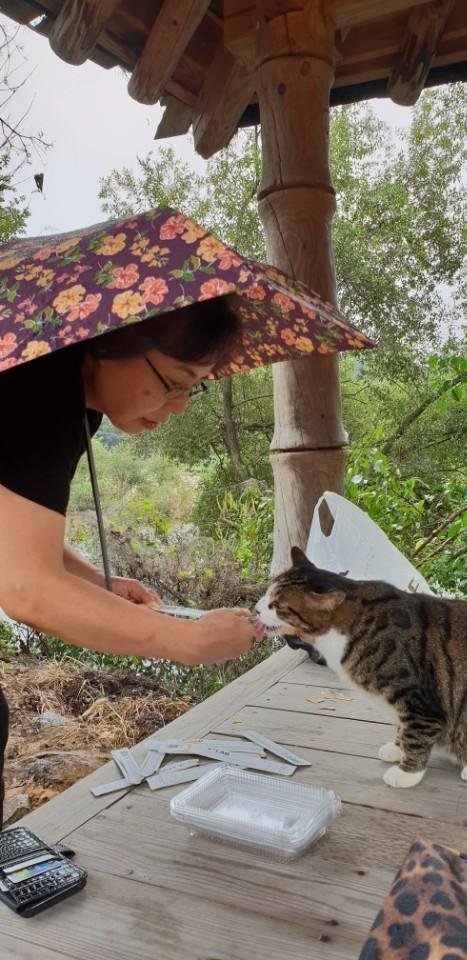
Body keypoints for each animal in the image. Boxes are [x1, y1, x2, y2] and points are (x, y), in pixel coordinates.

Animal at [258, 548, 466, 788]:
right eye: (267, 593)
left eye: (276, 606)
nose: (256, 608)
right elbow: (402, 727)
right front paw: (397, 749)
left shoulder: (419, 701)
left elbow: (416, 736)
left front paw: (407, 773)